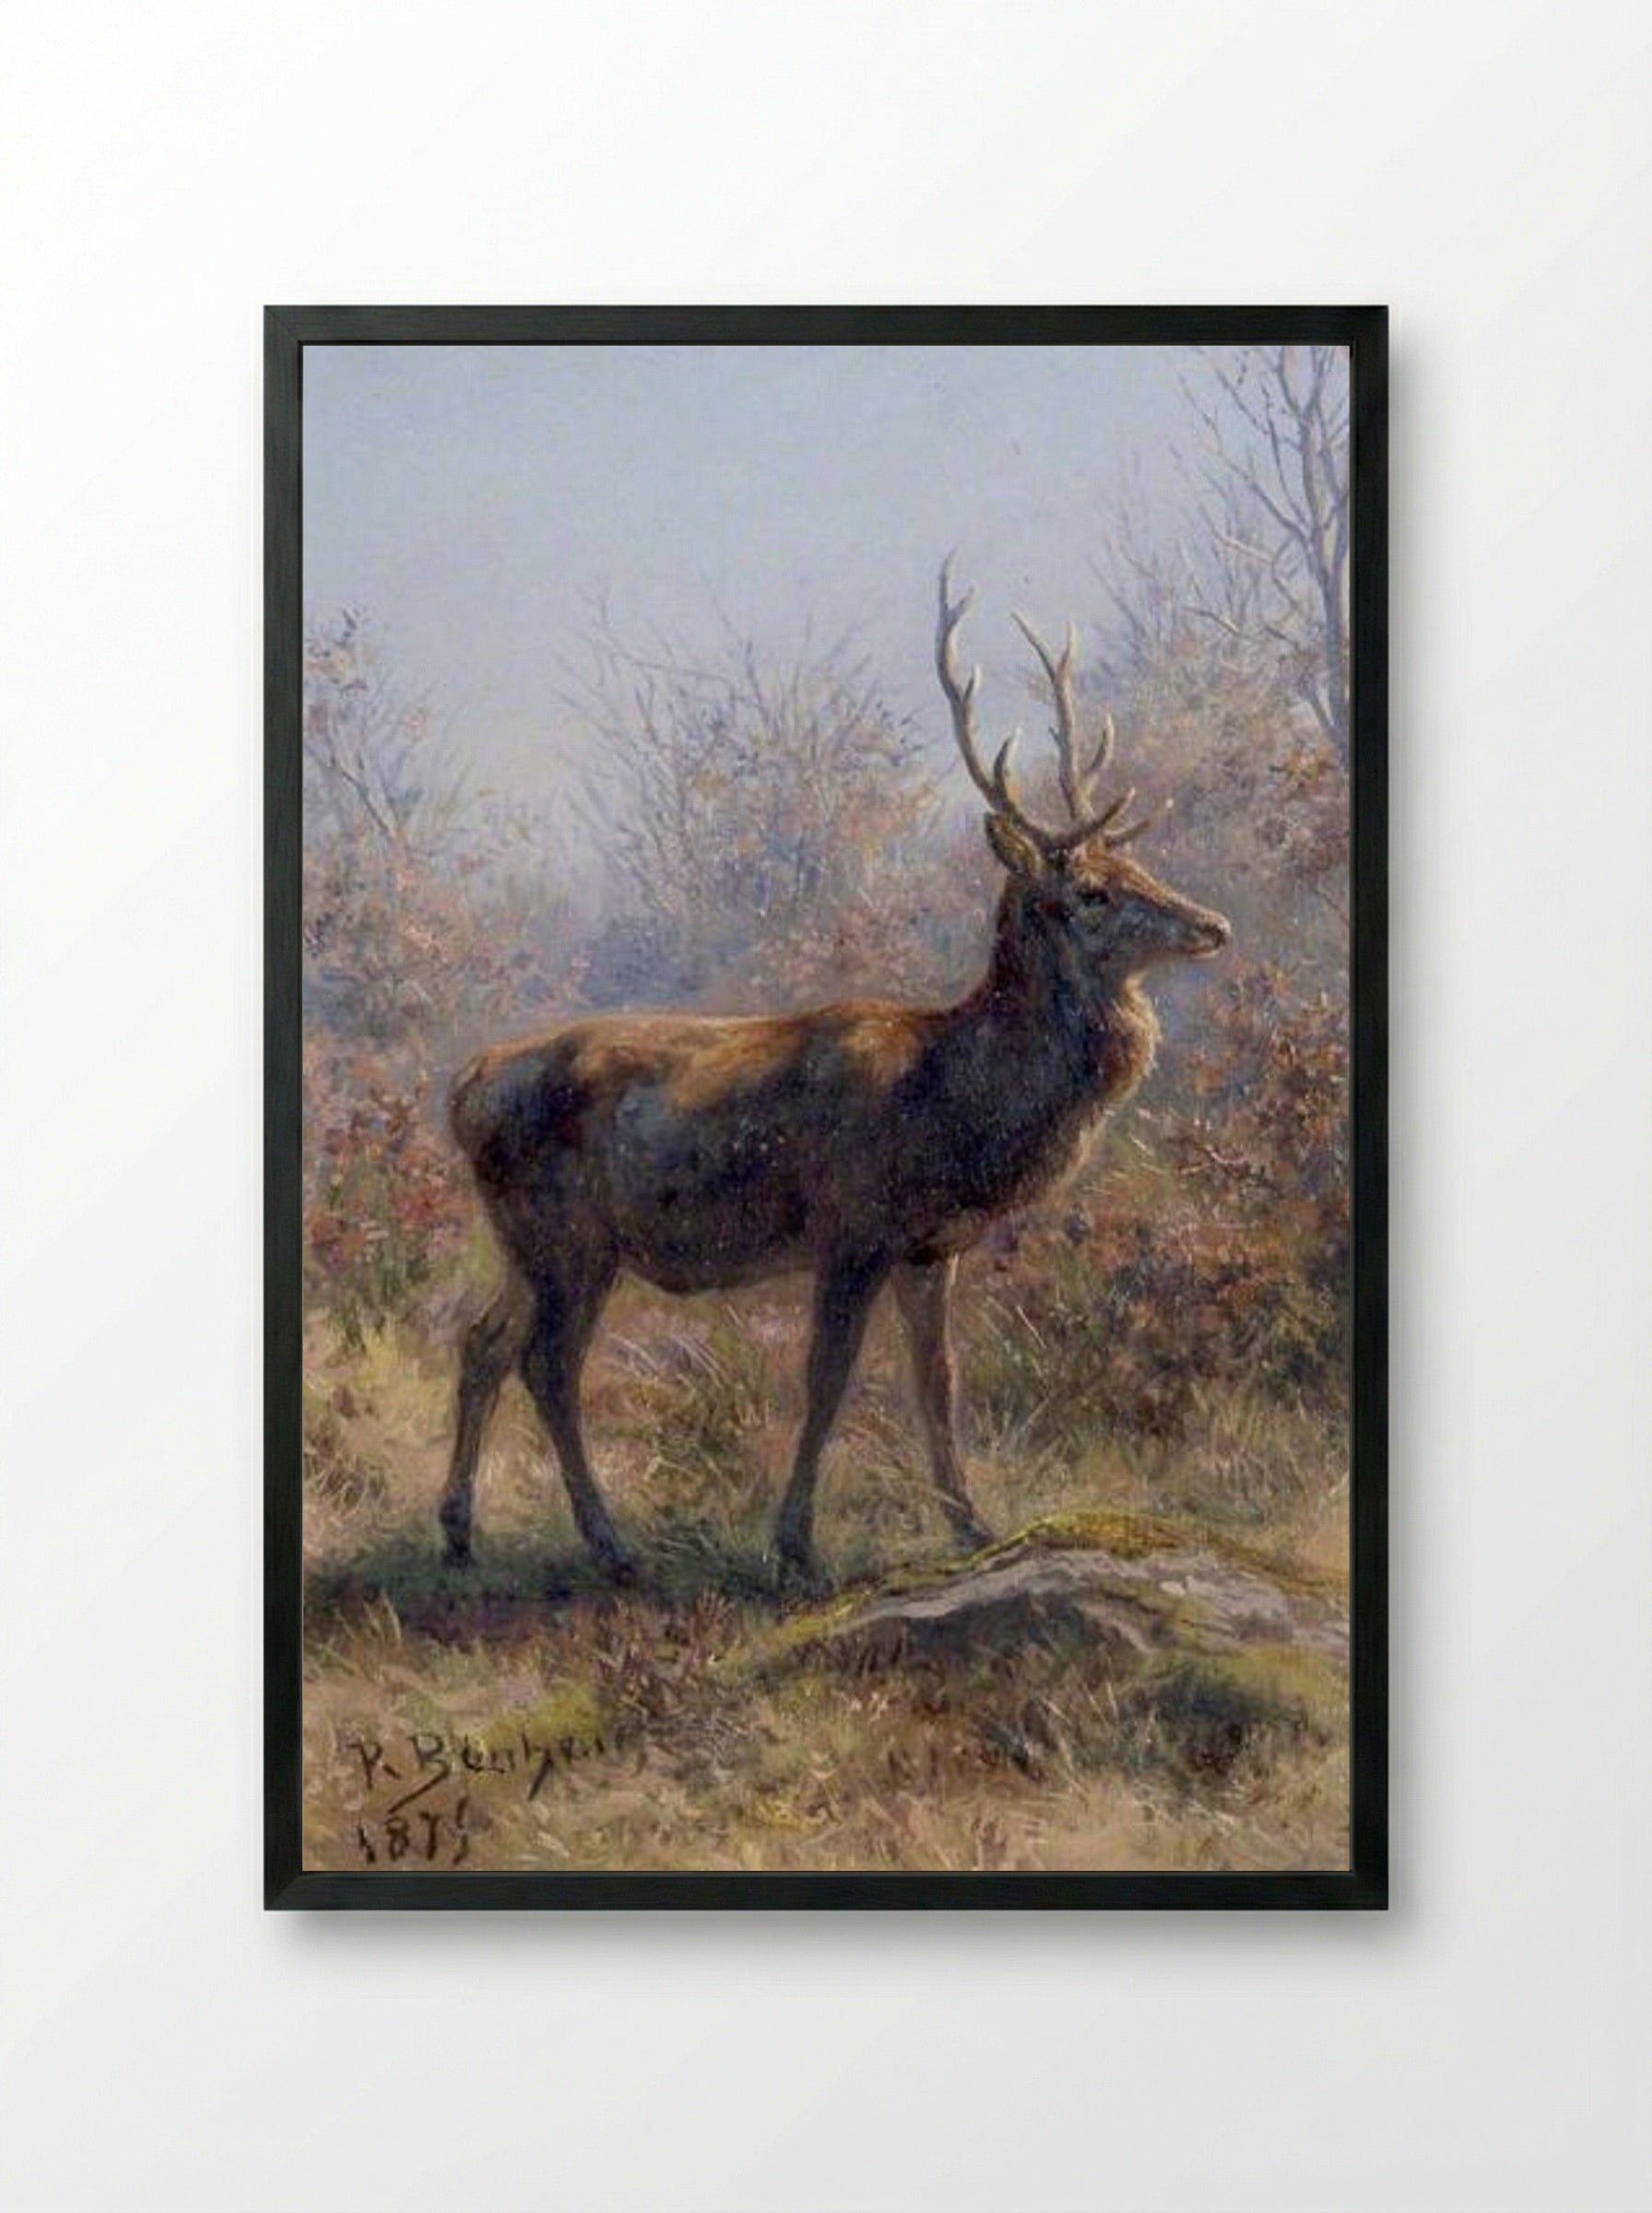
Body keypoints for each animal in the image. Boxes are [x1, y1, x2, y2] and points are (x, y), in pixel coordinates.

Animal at [439, 563, 1230, 1587]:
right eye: (1091, 892)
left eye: (1138, 865)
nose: (1212, 925)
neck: (959, 1102)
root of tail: (466, 1088)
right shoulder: (853, 1226)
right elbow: (827, 1381)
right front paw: (795, 1547)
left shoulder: (932, 1246)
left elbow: (938, 1382)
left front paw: (970, 1526)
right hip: (570, 1236)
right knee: (547, 1364)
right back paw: (611, 1546)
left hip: (526, 1242)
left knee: (481, 1341)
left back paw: (460, 1531)